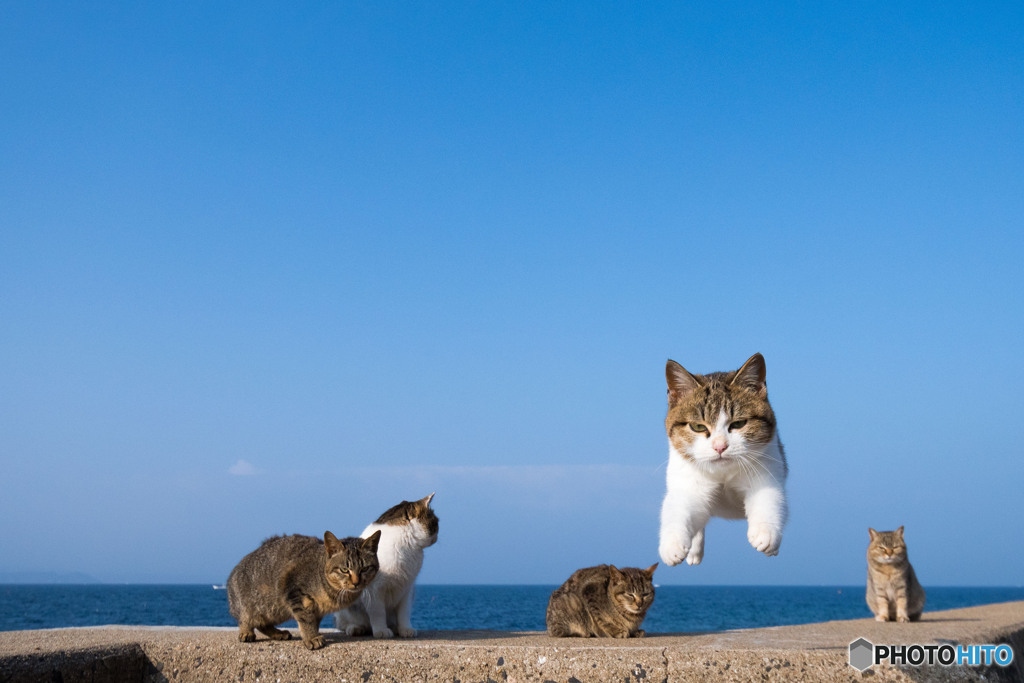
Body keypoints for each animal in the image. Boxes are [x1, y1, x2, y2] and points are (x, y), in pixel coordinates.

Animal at [226, 528, 382, 651]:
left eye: (364, 569)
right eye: (344, 570)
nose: (356, 582)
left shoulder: (319, 609)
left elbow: (313, 621)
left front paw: (313, 634)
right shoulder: (294, 590)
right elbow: (305, 619)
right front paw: (311, 638)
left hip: (273, 611)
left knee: (262, 624)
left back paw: (278, 633)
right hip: (251, 605)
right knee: (245, 620)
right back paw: (246, 633)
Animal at [331, 493, 436, 638]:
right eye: (436, 522)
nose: (437, 536)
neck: (408, 547)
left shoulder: (407, 589)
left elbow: (404, 613)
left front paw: (405, 629)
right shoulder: (373, 590)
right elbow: (378, 613)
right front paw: (381, 631)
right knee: (343, 624)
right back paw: (355, 628)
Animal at [655, 352, 790, 565]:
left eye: (739, 423)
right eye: (698, 427)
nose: (720, 446)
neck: (723, 473)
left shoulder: (768, 466)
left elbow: (767, 497)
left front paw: (765, 531)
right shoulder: (686, 480)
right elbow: (679, 507)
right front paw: (672, 543)